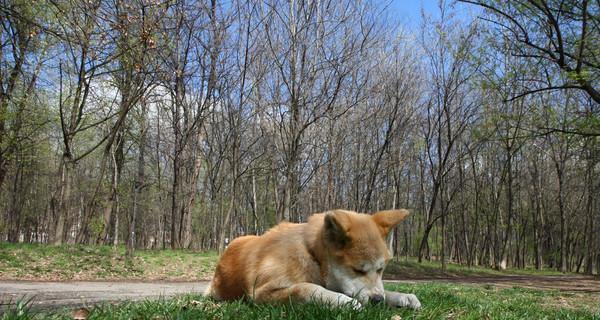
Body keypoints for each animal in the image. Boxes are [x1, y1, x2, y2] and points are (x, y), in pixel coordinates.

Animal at [205, 209, 422, 308]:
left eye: (380, 270)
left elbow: (385, 290)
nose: (377, 301)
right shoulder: (262, 293)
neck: (313, 255)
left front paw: (402, 296)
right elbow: (308, 288)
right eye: (358, 270)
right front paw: (345, 302)